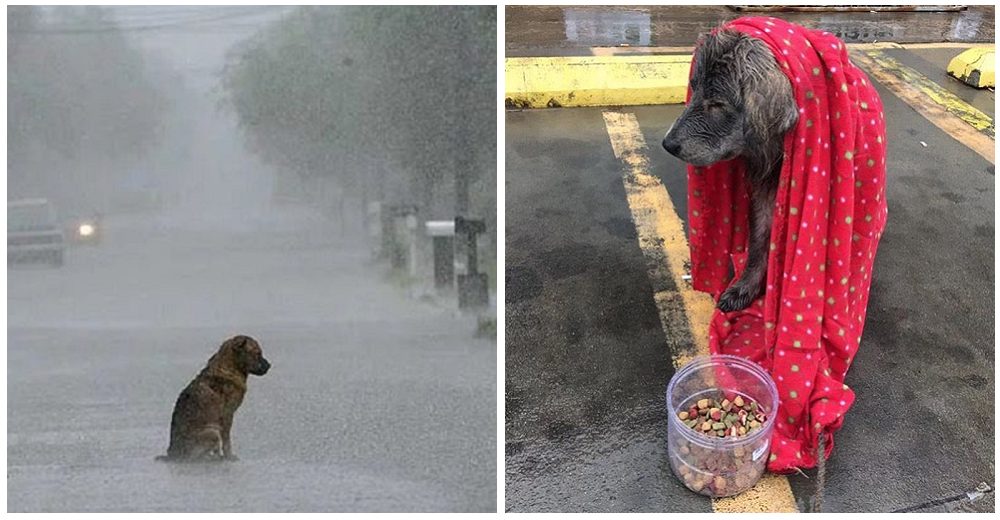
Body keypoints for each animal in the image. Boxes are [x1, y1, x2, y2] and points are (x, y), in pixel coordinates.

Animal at [660, 30, 800, 312]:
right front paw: (746, 287)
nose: (667, 144)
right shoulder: (763, 188)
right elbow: (758, 241)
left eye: (717, 103)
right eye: (694, 88)